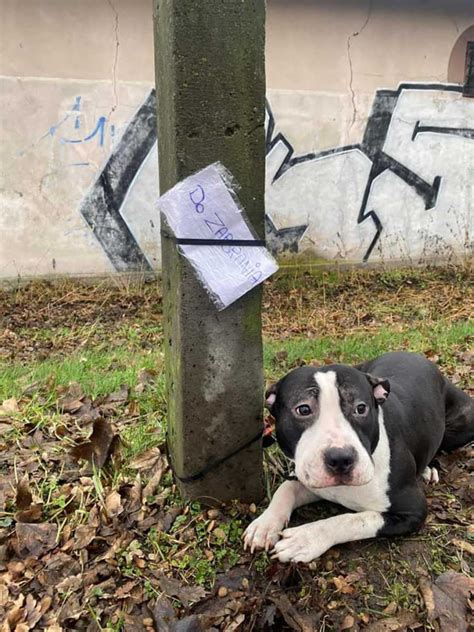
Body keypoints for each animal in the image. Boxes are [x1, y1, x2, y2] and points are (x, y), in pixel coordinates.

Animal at [244, 350, 474, 564]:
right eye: (303, 409)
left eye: (361, 408)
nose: (340, 459)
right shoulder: (313, 482)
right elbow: (286, 488)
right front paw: (265, 524)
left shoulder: (413, 510)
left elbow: (354, 519)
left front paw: (305, 539)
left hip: (463, 422)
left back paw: (429, 468)